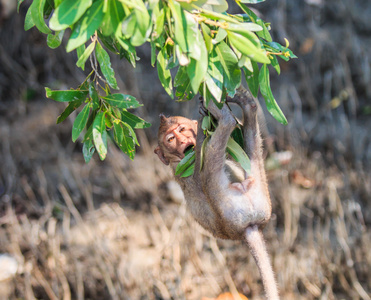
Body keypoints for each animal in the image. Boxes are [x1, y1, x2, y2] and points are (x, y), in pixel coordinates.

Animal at [154, 85, 280, 298]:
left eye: (181, 130)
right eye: (170, 139)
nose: (183, 141)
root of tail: (248, 229)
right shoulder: (182, 167)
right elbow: (199, 169)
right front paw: (204, 124)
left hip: (260, 193)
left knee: (251, 159)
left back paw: (247, 105)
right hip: (228, 206)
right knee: (208, 173)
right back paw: (227, 118)